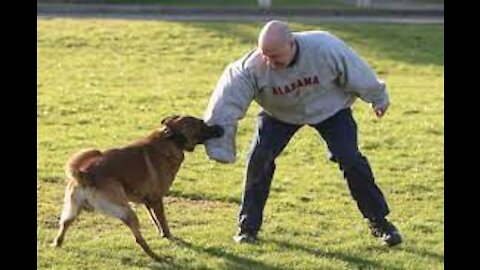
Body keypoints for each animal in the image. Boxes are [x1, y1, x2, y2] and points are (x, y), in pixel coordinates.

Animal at [51, 115, 224, 260]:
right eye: (202, 124)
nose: (220, 128)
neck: (170, 138)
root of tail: (85, 174)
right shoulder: (157, 200)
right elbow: (164, 223)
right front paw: (169, 237)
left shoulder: (149, 202)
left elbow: (156, 221)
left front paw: (161, 234)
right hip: (127, 212)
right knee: (138, 238)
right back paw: (155, 256)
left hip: (73, 209)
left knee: (64, 224)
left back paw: (57, 243)